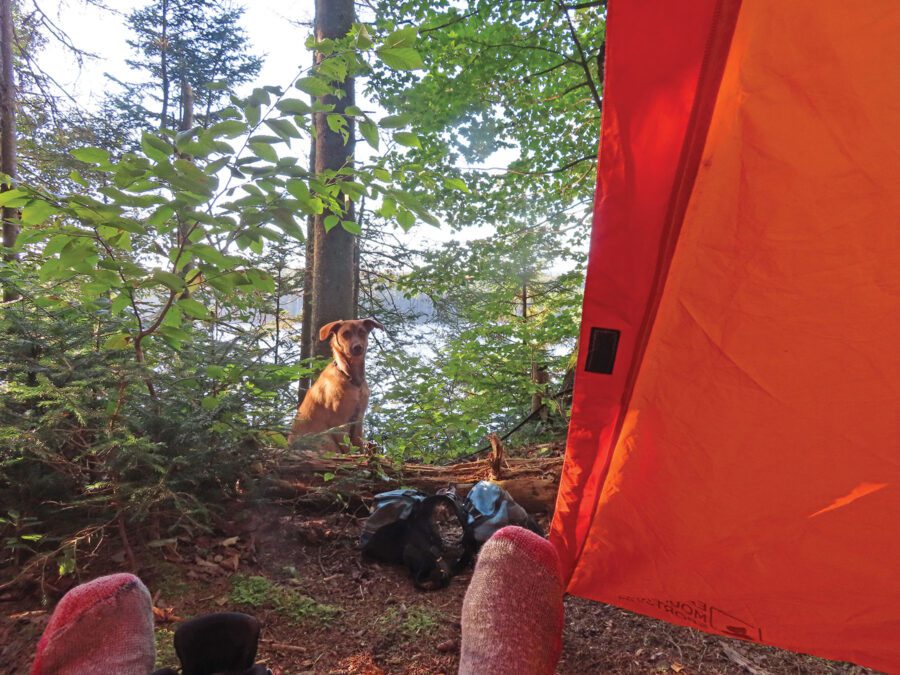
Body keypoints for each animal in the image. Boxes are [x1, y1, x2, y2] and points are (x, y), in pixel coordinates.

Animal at [288, 318, 384, 454]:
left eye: (362, 332)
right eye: (345, 333)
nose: (357, 347)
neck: (351, 378)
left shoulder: (358, 419)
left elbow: (358, 445)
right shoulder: (339, 423)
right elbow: (347, 448)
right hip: (325, 438)